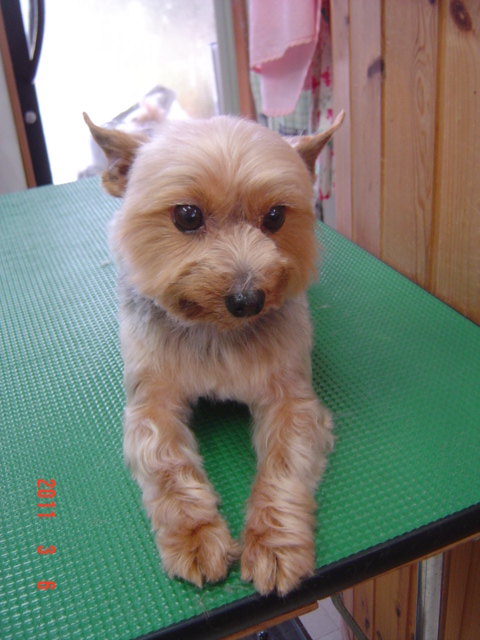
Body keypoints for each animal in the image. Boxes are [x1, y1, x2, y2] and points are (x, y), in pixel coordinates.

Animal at [84, 110, 344, 595]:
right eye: (188, 215)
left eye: (276, 216)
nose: (248, 300)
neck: (216, 333)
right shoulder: (150, 404)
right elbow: (164, 459)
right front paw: (195, 534)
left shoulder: (292, 400)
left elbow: (284, 463)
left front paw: (274, 543)